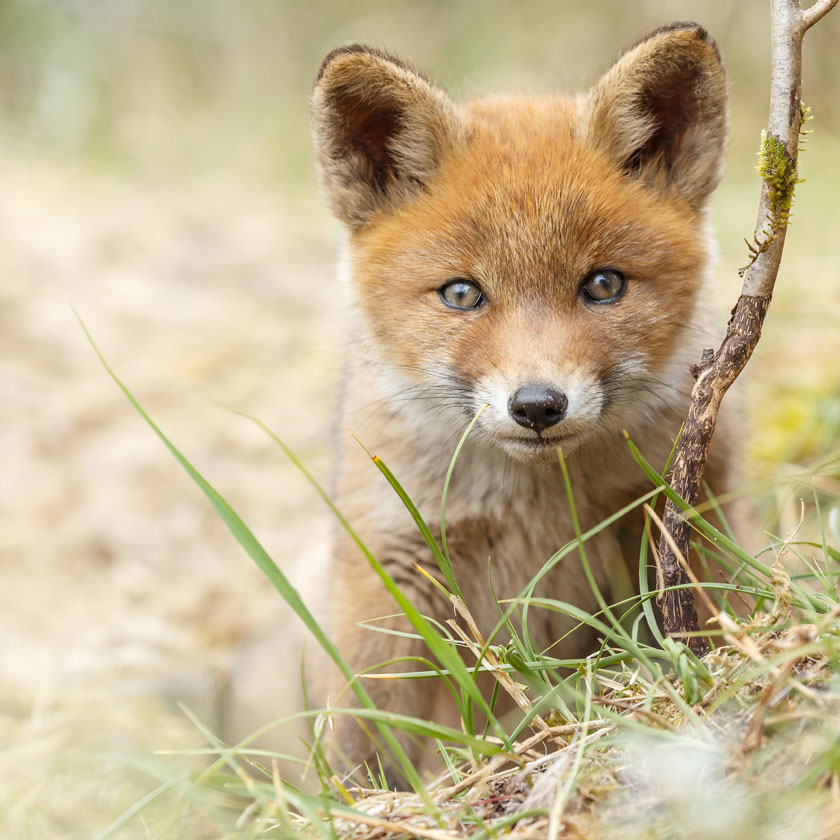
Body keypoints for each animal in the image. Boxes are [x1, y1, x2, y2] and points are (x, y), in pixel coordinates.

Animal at [308, 23, 736, 788]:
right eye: (461, 294)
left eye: (603, 285)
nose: (538, 405)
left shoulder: (681, 512)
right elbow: (366, 730)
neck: (533, 507)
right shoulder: (390, 562)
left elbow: (714, 618)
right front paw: (361, 802)